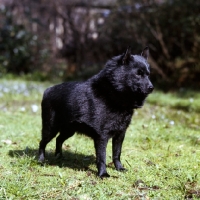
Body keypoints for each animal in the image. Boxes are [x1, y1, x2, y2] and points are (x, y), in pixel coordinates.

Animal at [38, 47, 153, 178]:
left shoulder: (120, 134)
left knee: (58, 139)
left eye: (148, 74)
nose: (151, 87)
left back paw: (59, 157)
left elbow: (117, 153)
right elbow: (102, 157)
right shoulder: (102, 136)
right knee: (42, 142)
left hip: (69, 130)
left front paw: (119, 168)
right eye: (138, 74)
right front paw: (103, 173)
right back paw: (41, 160)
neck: (112, 94)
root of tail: (48, 90)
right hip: (50, 128)